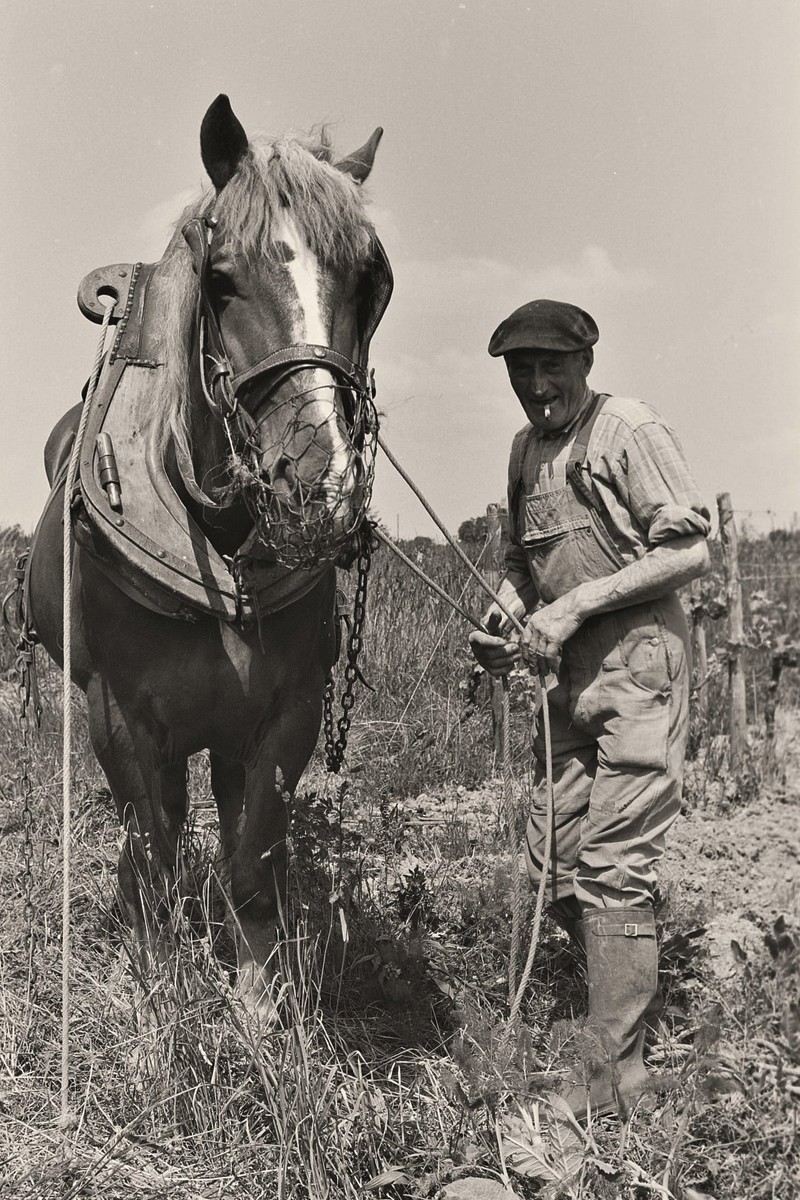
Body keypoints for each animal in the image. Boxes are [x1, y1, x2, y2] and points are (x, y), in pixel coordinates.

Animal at [27, 96, 393, 1012]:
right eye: (221, 281)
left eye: (372, 282)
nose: (318, 484)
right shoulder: (122, 717)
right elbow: (153, 854)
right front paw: (159, 983)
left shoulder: (286, 714)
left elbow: (254, 862)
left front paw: (259, 1001)